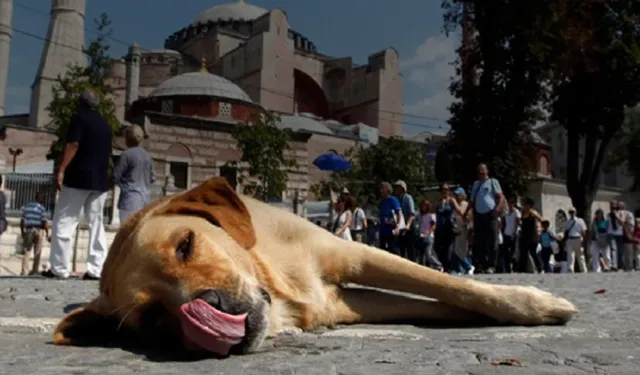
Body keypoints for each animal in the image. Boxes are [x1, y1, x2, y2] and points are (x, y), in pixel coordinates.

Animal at [52, 178, 576, 356]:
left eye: (185, 245)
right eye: (152, 316)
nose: (214, 308)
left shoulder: (354, 254)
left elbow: (449, 283)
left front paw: (532, 302)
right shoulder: (341, 304)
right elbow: (443, 302)